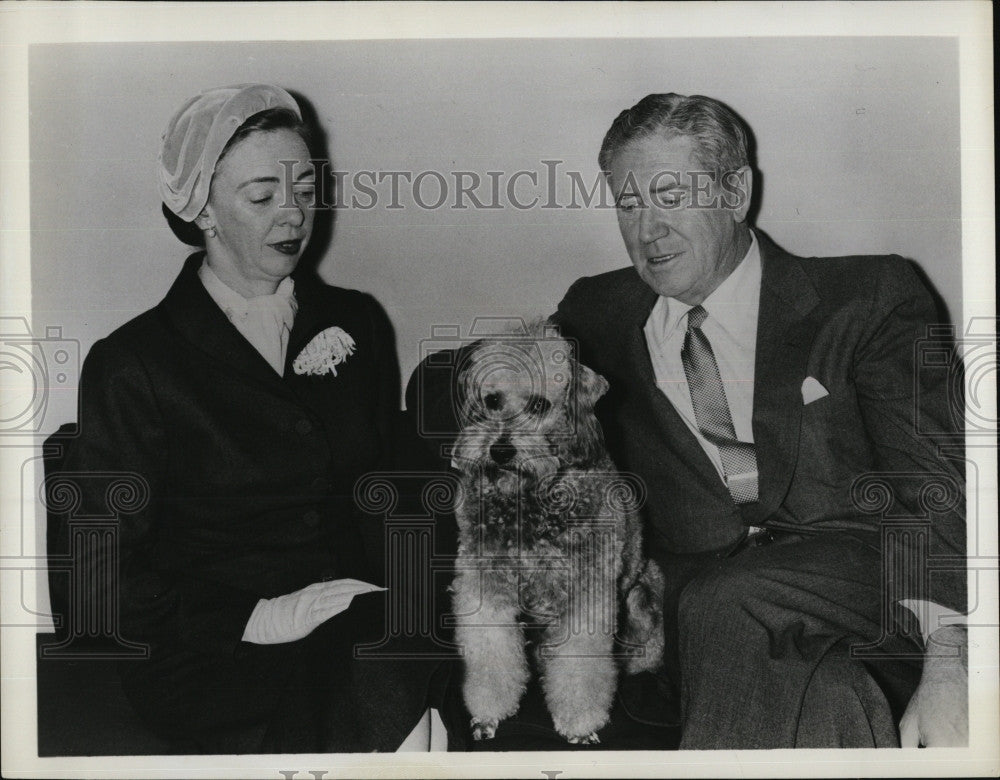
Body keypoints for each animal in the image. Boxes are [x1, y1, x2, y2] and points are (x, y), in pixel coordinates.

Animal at [450, 328, 660, 744]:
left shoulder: (588, 592)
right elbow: (492, 651)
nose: (500, 451)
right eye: (492, 399)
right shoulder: (486, 584)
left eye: (539, 404)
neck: (531, 499)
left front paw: (580, 723)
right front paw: (488, 713)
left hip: (645, 594)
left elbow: (579, 667)